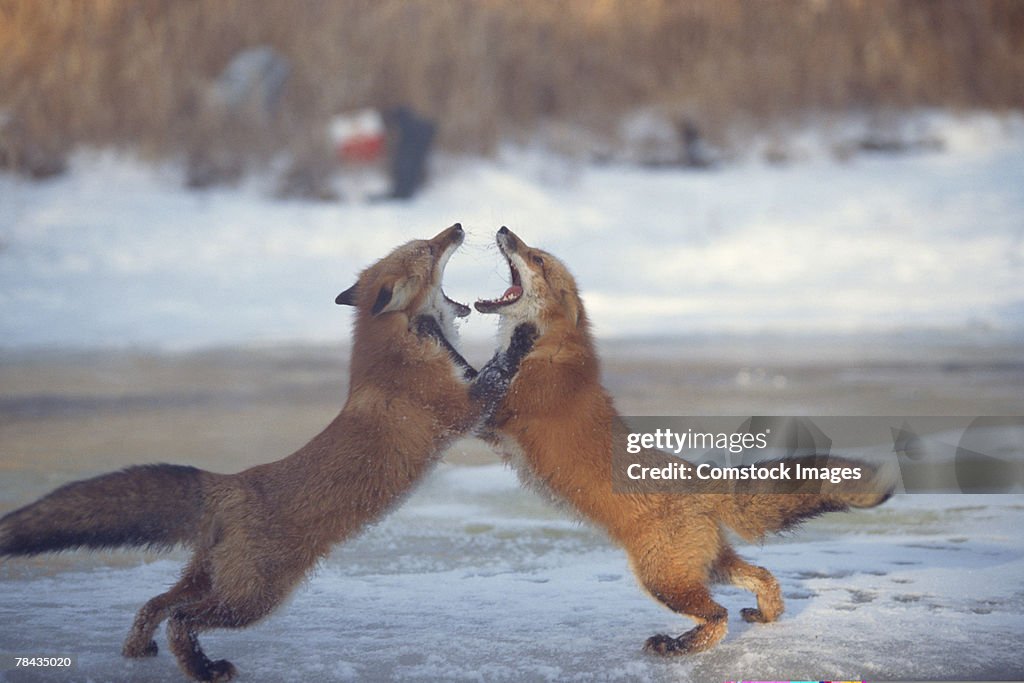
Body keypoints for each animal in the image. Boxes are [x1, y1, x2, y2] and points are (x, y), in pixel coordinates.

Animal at [0, 224, 489, 682]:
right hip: (254, 597)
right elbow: (494, 377)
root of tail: (231, 484)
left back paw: (140, 649)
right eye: (428, 249)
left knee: (156, 603)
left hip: (209, 577)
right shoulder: (460, 411)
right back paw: (205, 669)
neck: (401, 347)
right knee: (181, 619)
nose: (458, 226)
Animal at [473, 226, 894, 655]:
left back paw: (679, 645)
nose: (504, 230)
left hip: (662, 577)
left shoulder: (499, 413)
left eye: (537, 258)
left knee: (718, 615)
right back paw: (764, 614)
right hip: (707, 564)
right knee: (762, 575)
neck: (549, 348)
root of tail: (699, 475)